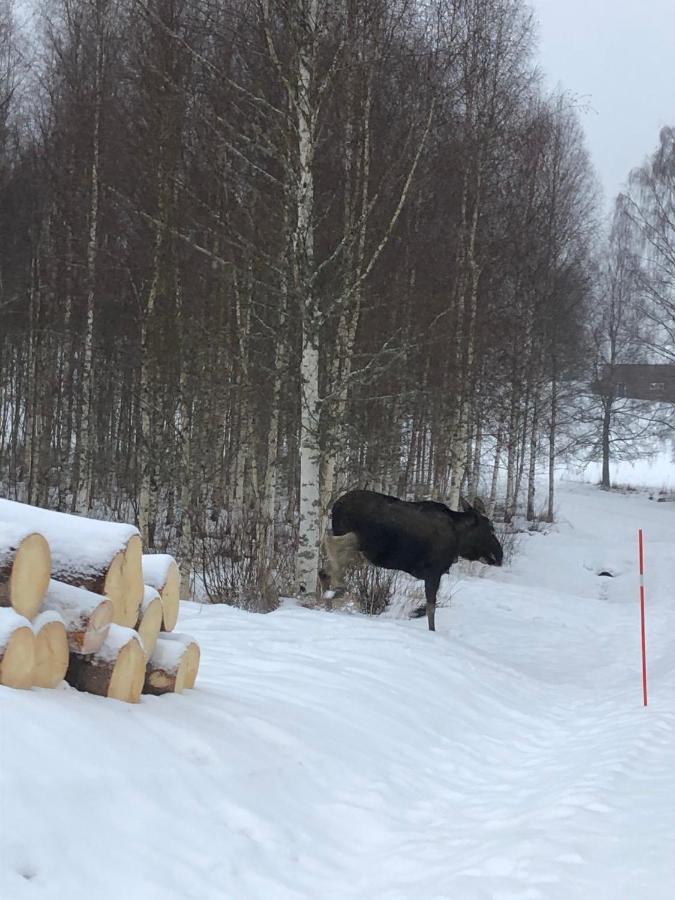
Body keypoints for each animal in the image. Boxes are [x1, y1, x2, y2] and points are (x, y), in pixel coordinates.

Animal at [320, 492, 504, 632]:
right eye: (491, 528)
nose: (499, 556)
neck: (459, 540)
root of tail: (336, 505)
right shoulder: (433, 572)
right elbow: (431, 608)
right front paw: (430, 629)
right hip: (364, 541)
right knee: (331, 543)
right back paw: (338, 589)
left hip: (362, 548)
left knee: (325, 568)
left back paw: (329, 598)